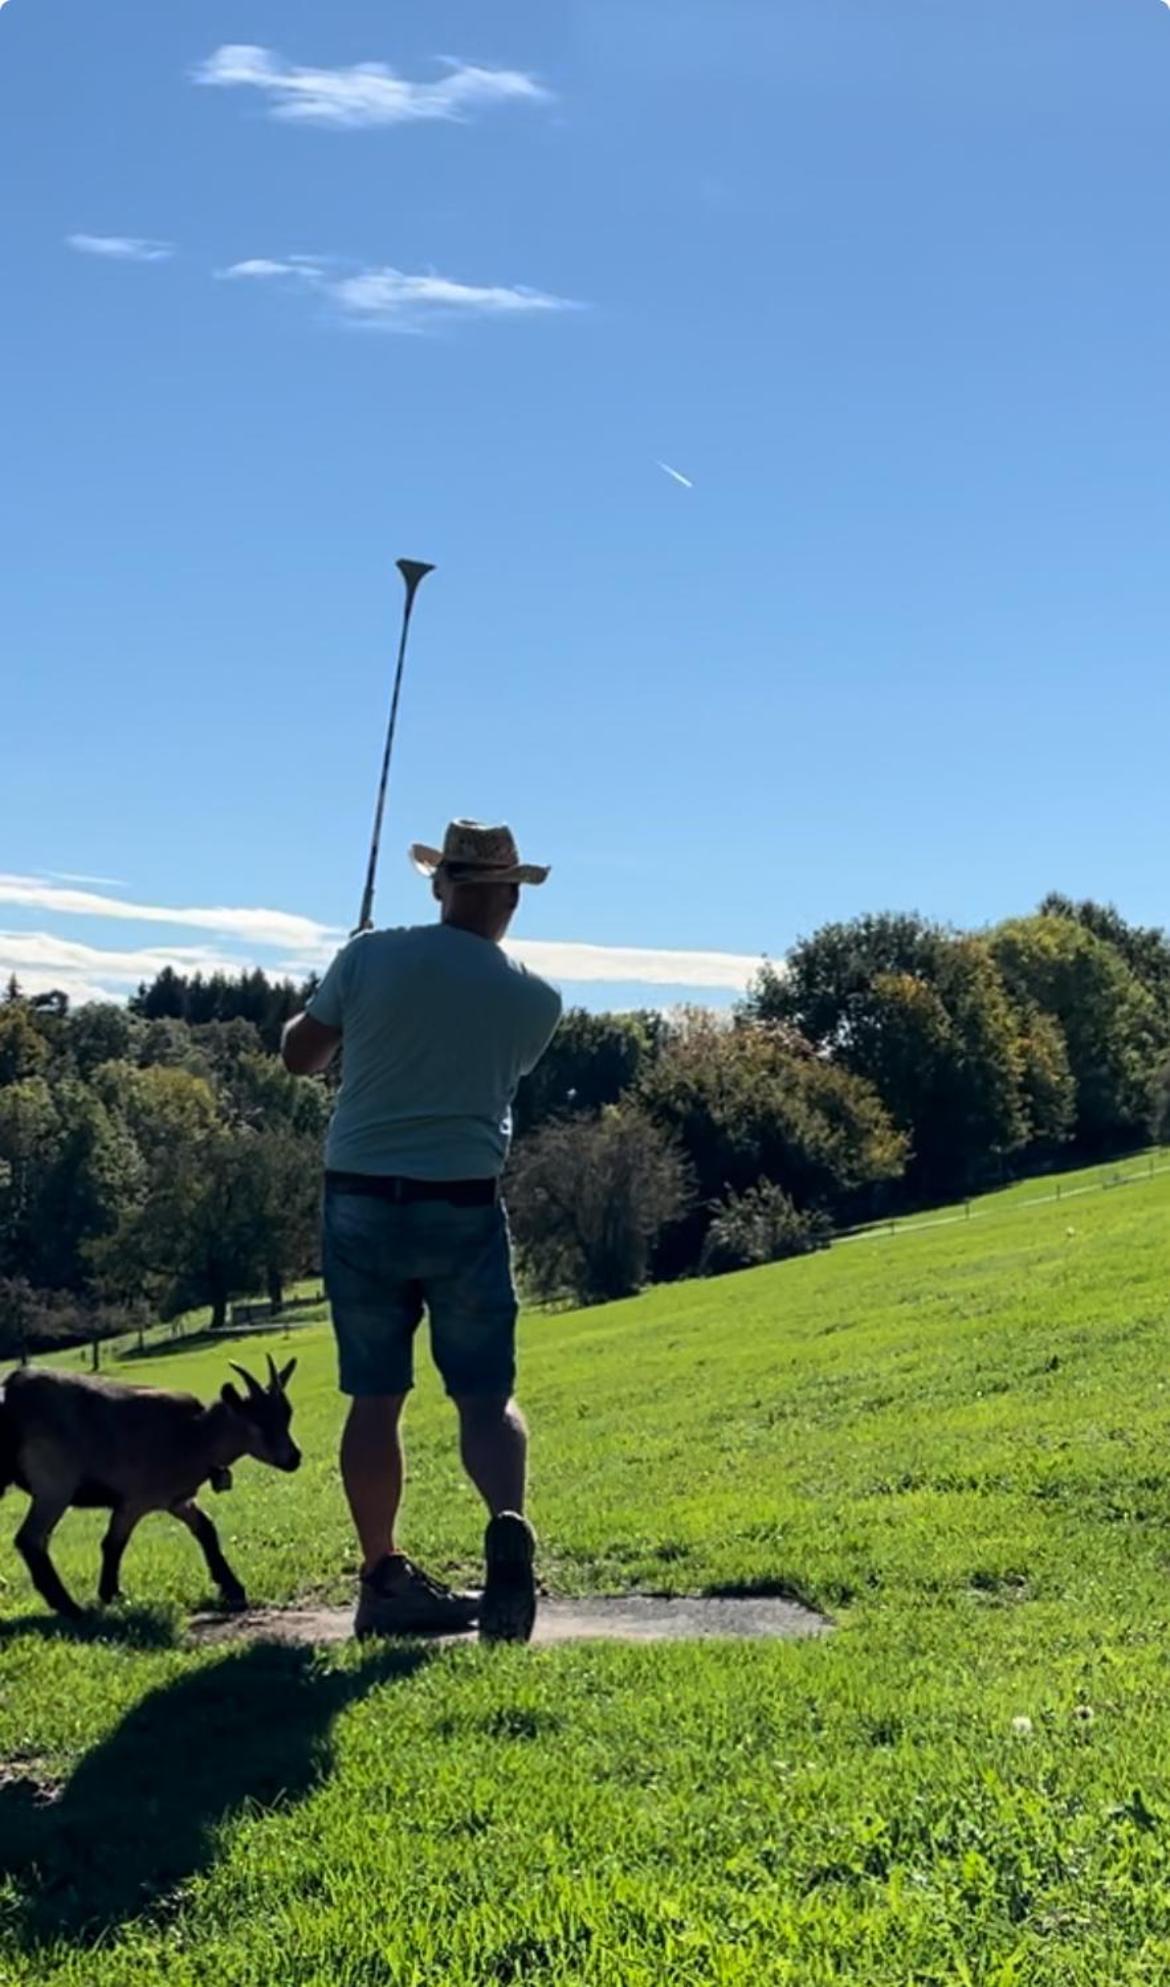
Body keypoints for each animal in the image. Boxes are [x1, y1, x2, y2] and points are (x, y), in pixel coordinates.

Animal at [1, 1351, 301, 1613]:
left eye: (287, 1415)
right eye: (258, 1421)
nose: (294, 1458)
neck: (196, 1435)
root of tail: (9, 1393)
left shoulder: (178, 1500)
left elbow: (206, 1530)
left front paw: (232, 1588)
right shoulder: (134, 1500)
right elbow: (113, 1543)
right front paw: (111, 1594)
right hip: (55, 1486)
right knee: (31, 1539)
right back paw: (70, 1608)